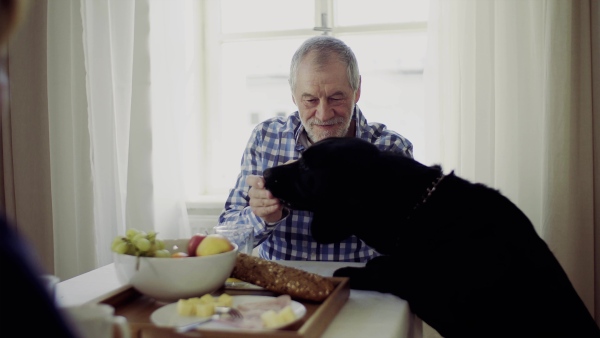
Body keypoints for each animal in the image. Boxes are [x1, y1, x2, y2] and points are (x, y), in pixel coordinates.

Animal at [264, 137, 600, 338]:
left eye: (306, 165)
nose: (265, 174)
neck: (417, 208)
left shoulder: (437, 299)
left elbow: (385, 272)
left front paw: (353, 271)